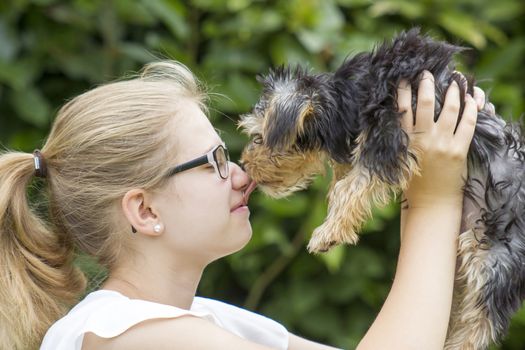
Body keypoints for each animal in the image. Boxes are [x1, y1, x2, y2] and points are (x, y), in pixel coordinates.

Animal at [238, 29, 524, 350]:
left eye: (258, 138)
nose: (244, 165)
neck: (345, 99)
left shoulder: (388, 133)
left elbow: (353, 185)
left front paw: (329, 232)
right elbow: (346, 180)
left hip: (498, 258)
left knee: (478, 321)